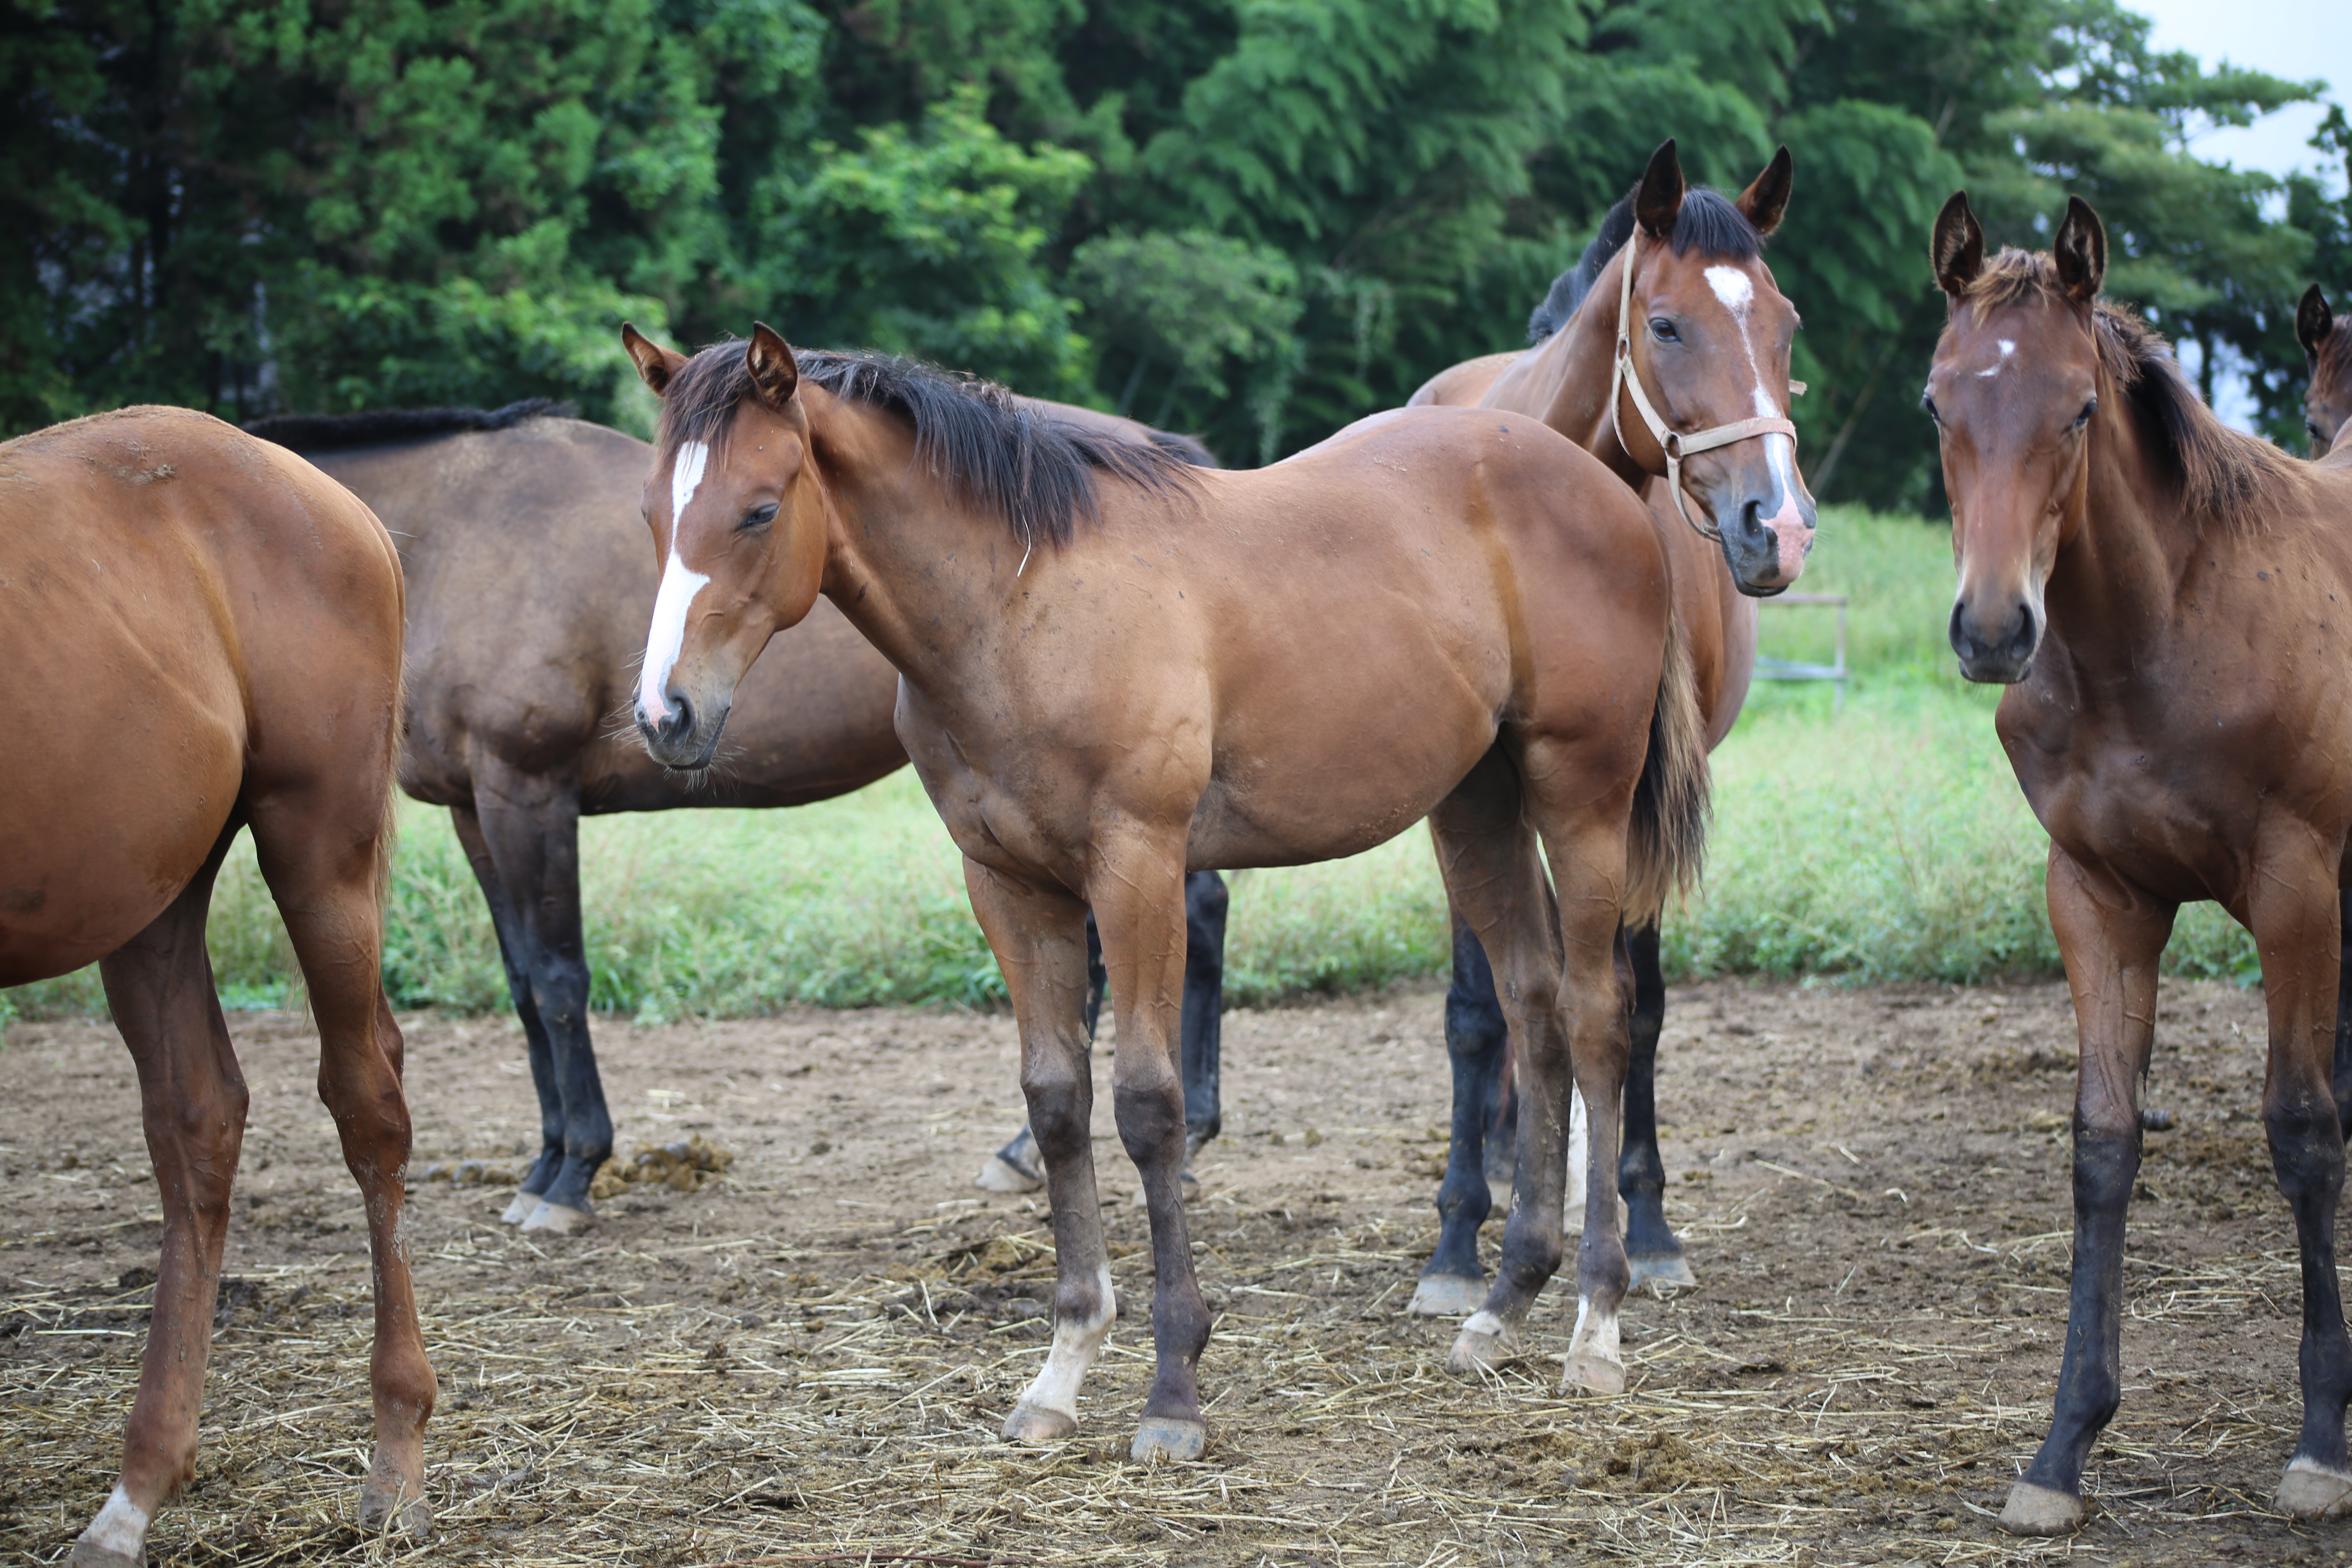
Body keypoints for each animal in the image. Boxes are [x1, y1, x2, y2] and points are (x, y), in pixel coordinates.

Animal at [1, 409, 437, 1568]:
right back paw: (139, 1487)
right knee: (200, 1121)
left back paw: (395, 1460)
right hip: (149, 894)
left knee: (368, 1106)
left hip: (317, 845)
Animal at [241, 399, 1232, 1232]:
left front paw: (573, 1175)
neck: (458, 530)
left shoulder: (525, 793)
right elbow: (523, 986)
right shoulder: (474, 814)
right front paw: (543, 1164)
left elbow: (560, 981)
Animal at [616, 322, 1703, 1457]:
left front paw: (1173, 1387)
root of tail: (1609, 493)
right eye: (653, 513)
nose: (665, 715)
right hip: (1475, 809)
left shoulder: (1137, 866)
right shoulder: (1008, 883)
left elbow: (1147, 1106)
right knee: (1533, 1009)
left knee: (1596, 1018)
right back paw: (1502, 1306)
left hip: (1580, 800)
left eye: (758, 509)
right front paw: (1060, 1369)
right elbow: (1056, 1102)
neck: (1019, 603)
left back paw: (1596, 1324)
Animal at [1401, 138, 1825, 1316]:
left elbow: (1632, 1008)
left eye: (1786, 325)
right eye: (1668, 325)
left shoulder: (1631, 799)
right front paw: (1458, 1238)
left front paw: (1645, 1223)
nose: (1779, 527)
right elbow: (1478, 1010)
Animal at [1919, 193, 2352, 1532]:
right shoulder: (2096, 898)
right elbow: (2101, 1144)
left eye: (2078, 409)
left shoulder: (2296, 888)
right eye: (1937, 404)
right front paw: (2063, 1444)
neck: (2152, 636)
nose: (1993, 630)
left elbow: (2301, 1130)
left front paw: (2322, 1439)